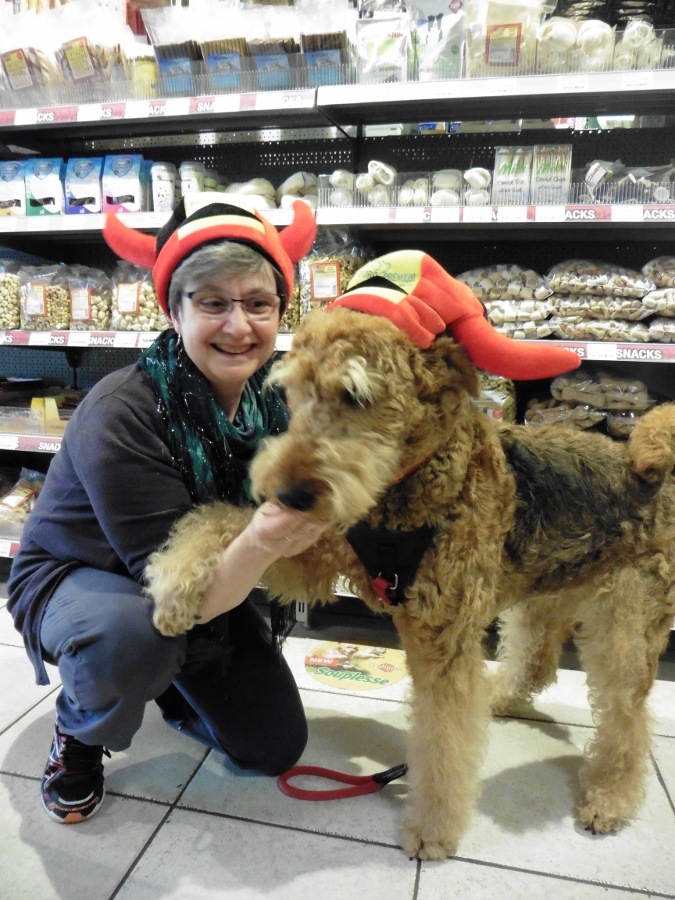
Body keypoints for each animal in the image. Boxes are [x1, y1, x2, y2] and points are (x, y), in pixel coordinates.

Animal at [146, 299, 675, 861]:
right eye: (292, 390)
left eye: (355, 394)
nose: (288, 495)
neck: (409, 486)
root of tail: (654, 475)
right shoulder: (317, 554)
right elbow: (223, 522)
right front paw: (173, 589)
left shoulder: (443, 641)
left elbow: (442, 742)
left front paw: (432, 830)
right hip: (544, 592)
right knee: (534, 663)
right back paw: (499, 698)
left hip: (625, 627)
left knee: (628, 721)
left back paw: (609, 800)